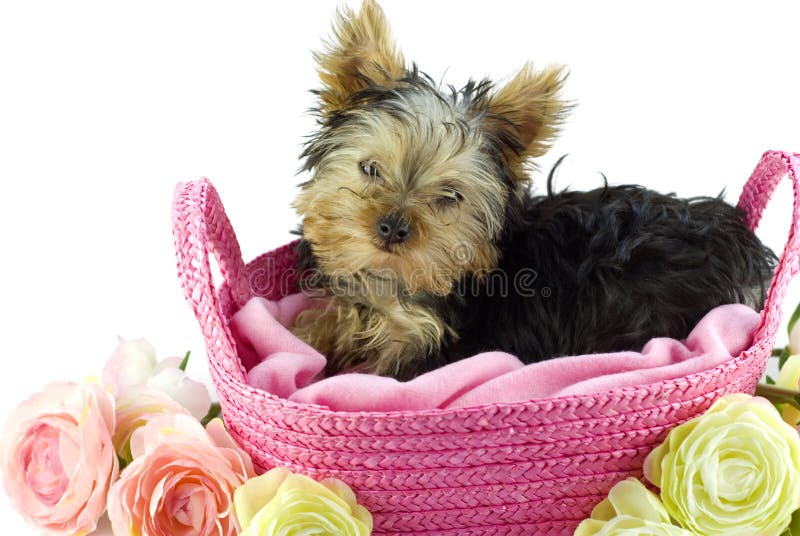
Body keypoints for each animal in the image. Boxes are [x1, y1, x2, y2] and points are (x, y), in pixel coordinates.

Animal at [290, 0, 780, 378]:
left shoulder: (427, 346)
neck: (390, 282)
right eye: (370, 169)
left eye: (450, 197)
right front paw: (306, 334)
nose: (392, 228)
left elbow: (380, 373)